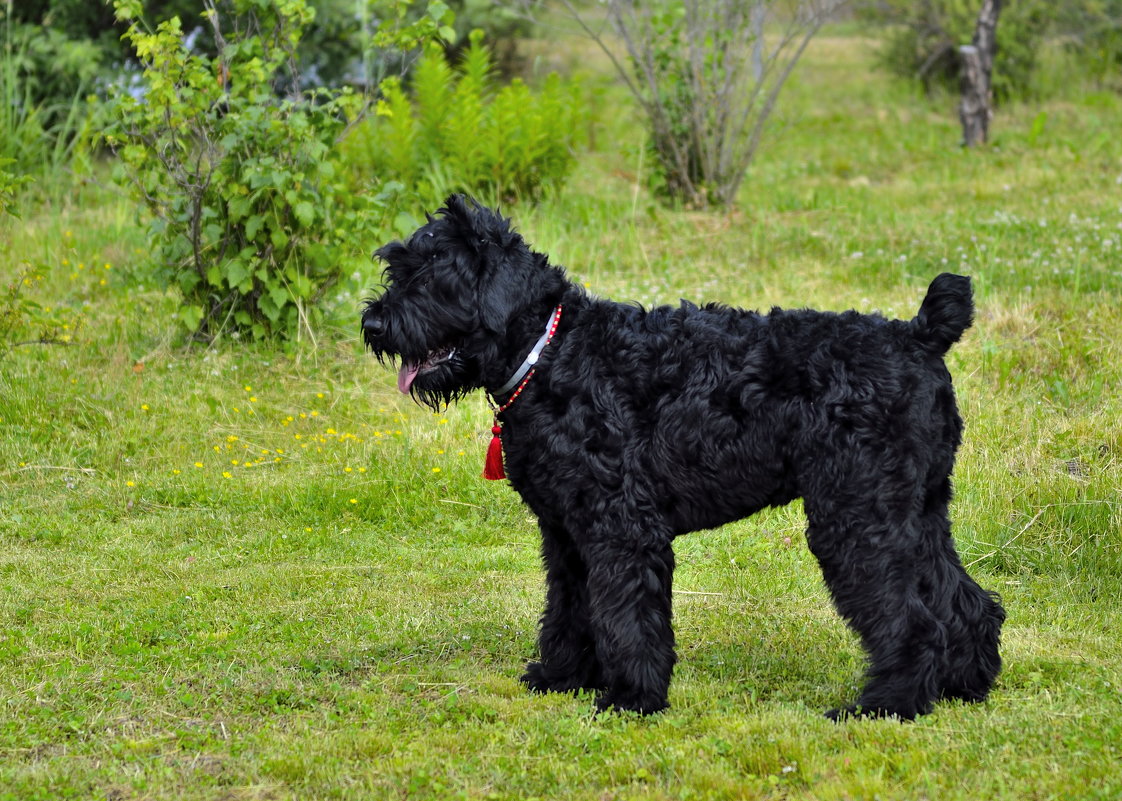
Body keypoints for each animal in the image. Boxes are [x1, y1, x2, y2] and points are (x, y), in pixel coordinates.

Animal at [363, 192, 1005, 717]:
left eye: (432, 274)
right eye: (398, 267)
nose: (372, 323)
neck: (552, 353)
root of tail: (918, 335)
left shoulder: (621, 527)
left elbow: (624, 616)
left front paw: (630, 698)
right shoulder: (567, 533)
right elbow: (570, 607)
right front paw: (562, 677)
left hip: (857, 517)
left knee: (910, 618)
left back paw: (886, 705)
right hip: (918, 511)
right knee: (965, 601)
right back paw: (963, 686)